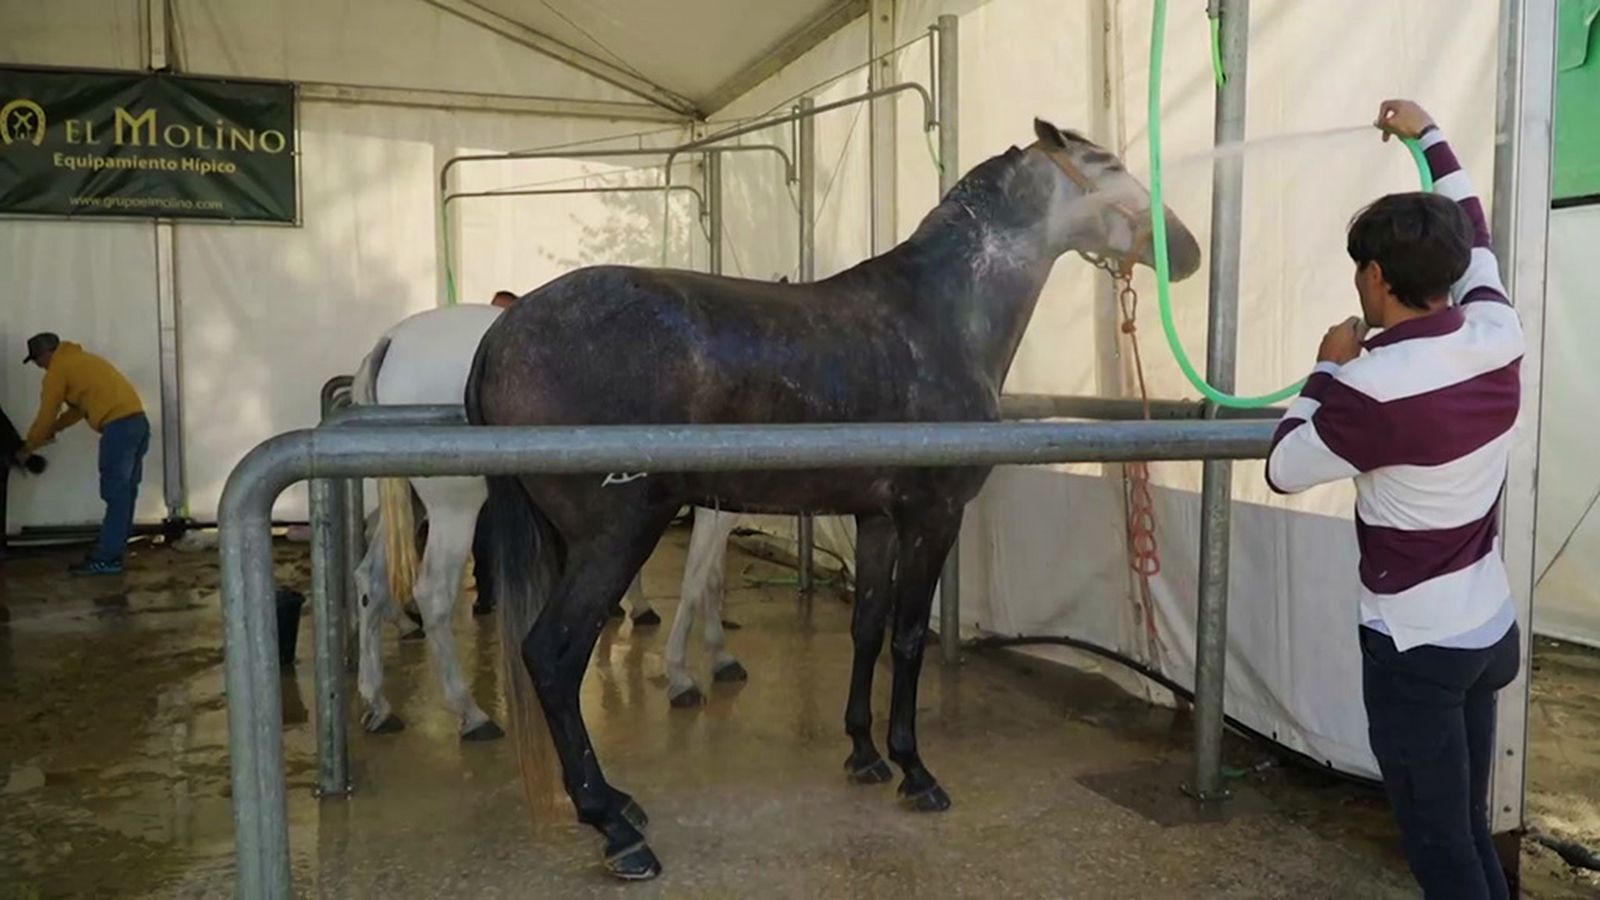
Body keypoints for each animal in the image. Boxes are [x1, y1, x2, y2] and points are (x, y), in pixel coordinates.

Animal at [348, 306, 753, 737]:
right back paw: (471, 713)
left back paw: (379, 702)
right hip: (454, 506)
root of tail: (392, 340)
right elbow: (695, 583)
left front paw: (720, 656)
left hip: (410, 501)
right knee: (433, 594)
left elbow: (711, 581)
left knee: (371, 581)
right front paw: (682, 675)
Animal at [467, 118, 1203, 879]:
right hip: (618, 535)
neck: (941, 315)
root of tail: (504, 332)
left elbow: (866, 629)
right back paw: (614, 826)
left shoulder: (875, 518)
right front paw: (916, 771)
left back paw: (621, 802)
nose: (1187, 251)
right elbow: (906, 638)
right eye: (1108, 164)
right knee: (554, 656)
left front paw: (864, 754)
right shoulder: (933, 518)